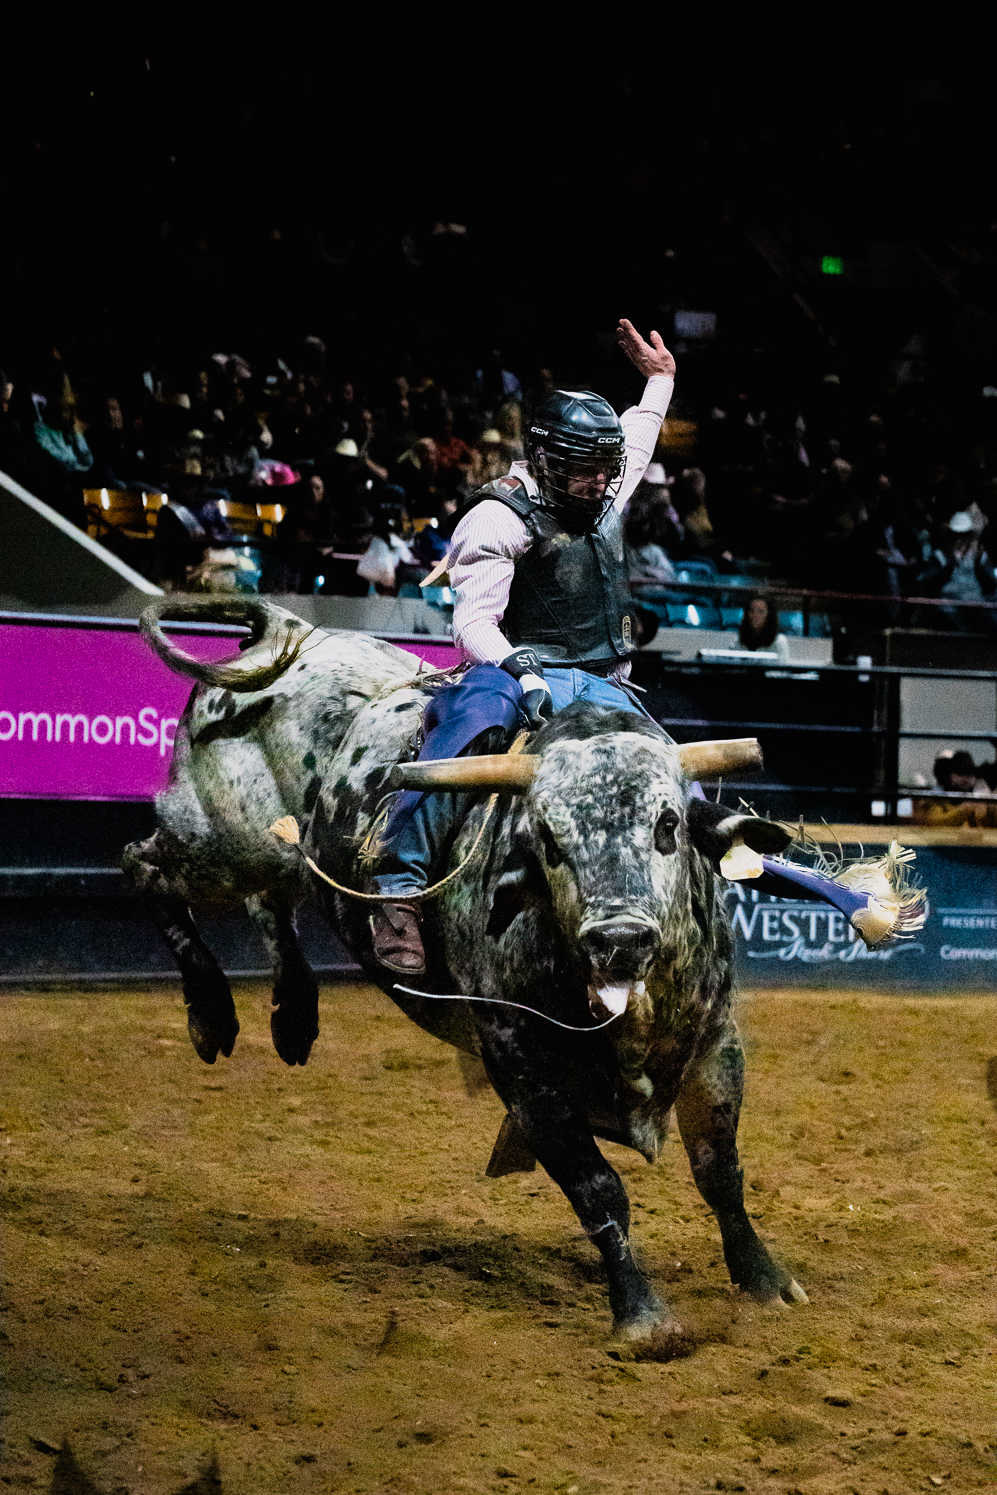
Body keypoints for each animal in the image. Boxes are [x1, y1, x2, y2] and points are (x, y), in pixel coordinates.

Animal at [124, 598, 896, 1345]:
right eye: (548, 837)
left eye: (668, 824)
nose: (619, 937)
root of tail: (293, 633)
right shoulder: (519, 1061)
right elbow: (598, 1186)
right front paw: (643, 1316)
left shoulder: (715, 1039)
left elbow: (718, 1167)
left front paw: (765, 1280)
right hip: (217, 838)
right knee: (144, 865)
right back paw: (211, 1014)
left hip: (266, 853)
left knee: (268, 901)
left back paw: (292, 1015)